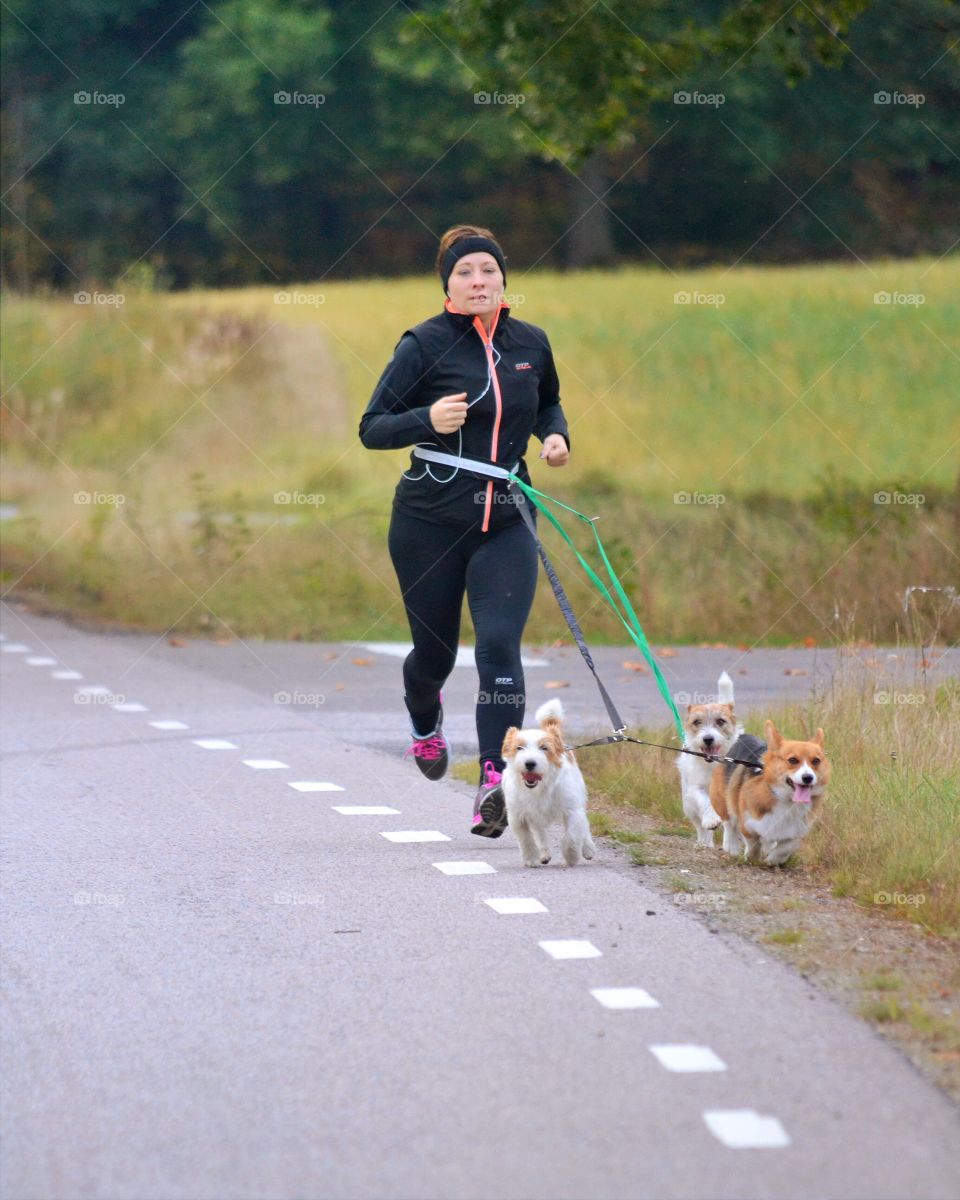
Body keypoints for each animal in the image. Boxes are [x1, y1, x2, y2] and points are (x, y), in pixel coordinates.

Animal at [499, 700, 595, 868]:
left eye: (544, 748)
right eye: (519, 747)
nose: (530, 763)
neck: (539, 788)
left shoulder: (572, 810)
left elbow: (573, 835)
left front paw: (571, 856)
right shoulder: (518, 817)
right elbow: (527, 840)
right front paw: (531, 859)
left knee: (584, 826)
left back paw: (588, 849)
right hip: (536, 818)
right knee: (540, 834)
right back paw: (544, 854)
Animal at [676, 672, 744, 849]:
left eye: (720, 721)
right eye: (696, 722)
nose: (708, 739)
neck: (713, 765)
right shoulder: (697, 788)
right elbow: (706, 803)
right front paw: (711, 820)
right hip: (689, 806)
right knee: (700, 827)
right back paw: (704, 843)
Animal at [710, 715, 830, 868]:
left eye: (816, 761)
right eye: (792, 760)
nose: (808, 777)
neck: (786, 800)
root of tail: (742, 737)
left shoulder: (797, 832)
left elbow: (785, 848)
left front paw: (772, 860)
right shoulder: (749, 824)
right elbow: (754, 844)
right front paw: (752, 858)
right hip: (722, 799)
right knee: (729, 823)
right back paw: (731, 847)